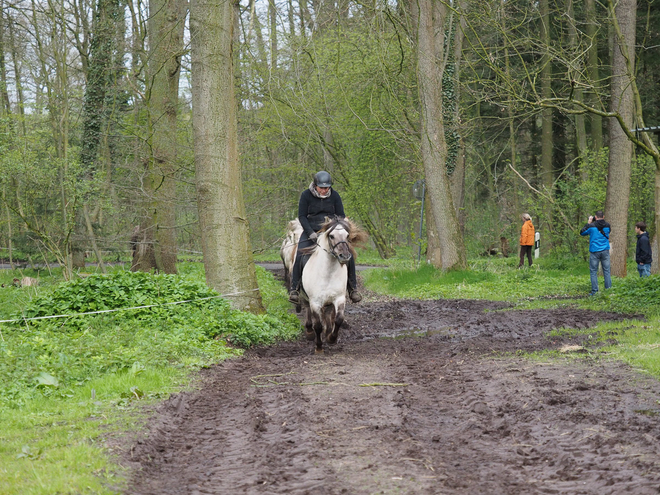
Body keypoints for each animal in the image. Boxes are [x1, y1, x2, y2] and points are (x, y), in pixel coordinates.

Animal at [298, 217, 366, 352]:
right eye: (331, 236)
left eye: (347, 235)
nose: (344, 256)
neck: (327, 273)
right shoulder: (315, 302)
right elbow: (318, 325)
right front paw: (319, 347)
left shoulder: (339, 298)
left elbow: (338, 319)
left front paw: (331, 338)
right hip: (305, 297)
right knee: (308, 310)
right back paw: (309, 332)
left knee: (328, 314)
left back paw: (328, 332)